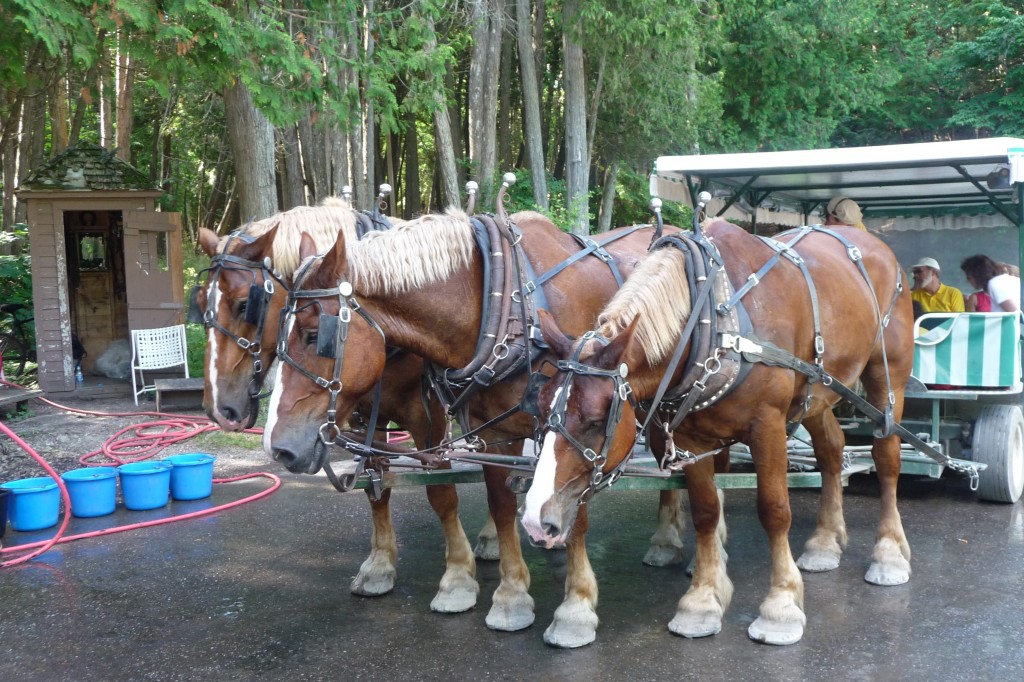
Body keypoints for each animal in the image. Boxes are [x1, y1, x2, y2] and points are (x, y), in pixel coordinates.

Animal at [196, 205, 483, 610]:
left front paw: (458, 576)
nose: (218, 409)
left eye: (243, 304)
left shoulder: (427, 416)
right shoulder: (364, 415)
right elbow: (376, 485)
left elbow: (441, 491)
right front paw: (380, 565)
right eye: (200, 304)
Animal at [264, 209, 688, 647]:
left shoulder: (582, 432)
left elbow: (577, 512)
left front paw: (575, 608)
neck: (503, 304)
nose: (279, 448)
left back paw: (667, 540)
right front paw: (511, 595)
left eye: (315, 336)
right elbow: (498, 504)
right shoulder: (493, 430)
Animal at [524, 219, 917, 643]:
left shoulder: (768, 425)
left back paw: (889, 552)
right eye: (541, 409)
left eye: (597, 421)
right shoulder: (691, 437)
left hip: (887, 378)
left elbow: (775, 510)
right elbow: (706, 512)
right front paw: (702, 601)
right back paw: (825, 542)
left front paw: (781, 605)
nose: (535, 520)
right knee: (831, 450)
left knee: (887, 456)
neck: (711, 319)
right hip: (820, 390)